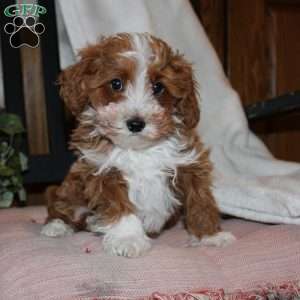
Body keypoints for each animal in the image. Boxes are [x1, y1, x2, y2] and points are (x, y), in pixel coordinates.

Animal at [41, 32, 236, 258]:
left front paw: (210, 235)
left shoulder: (189, 163)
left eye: (158, 87)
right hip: (72, 186)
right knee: (60, 203)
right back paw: (56, 226)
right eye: (116, 83)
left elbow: (200, 199)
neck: (140, 150)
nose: (136, 123)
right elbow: (120, 206)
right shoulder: (102, 170)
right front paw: (128, 238)